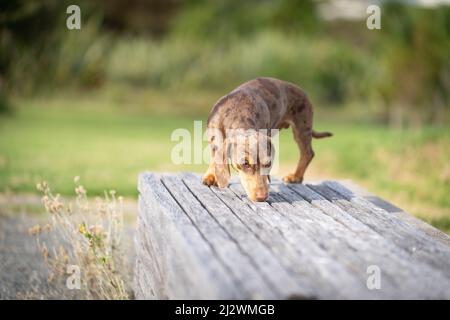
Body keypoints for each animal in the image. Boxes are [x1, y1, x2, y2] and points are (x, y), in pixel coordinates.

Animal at [202, 77, 332, 201]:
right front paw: (211, 176)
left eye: (269, 163)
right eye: (245, 163)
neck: (238, 111)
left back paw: (295, 177)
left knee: (308, 153)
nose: (262, 197)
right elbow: (214, 156)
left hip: (301, 128)